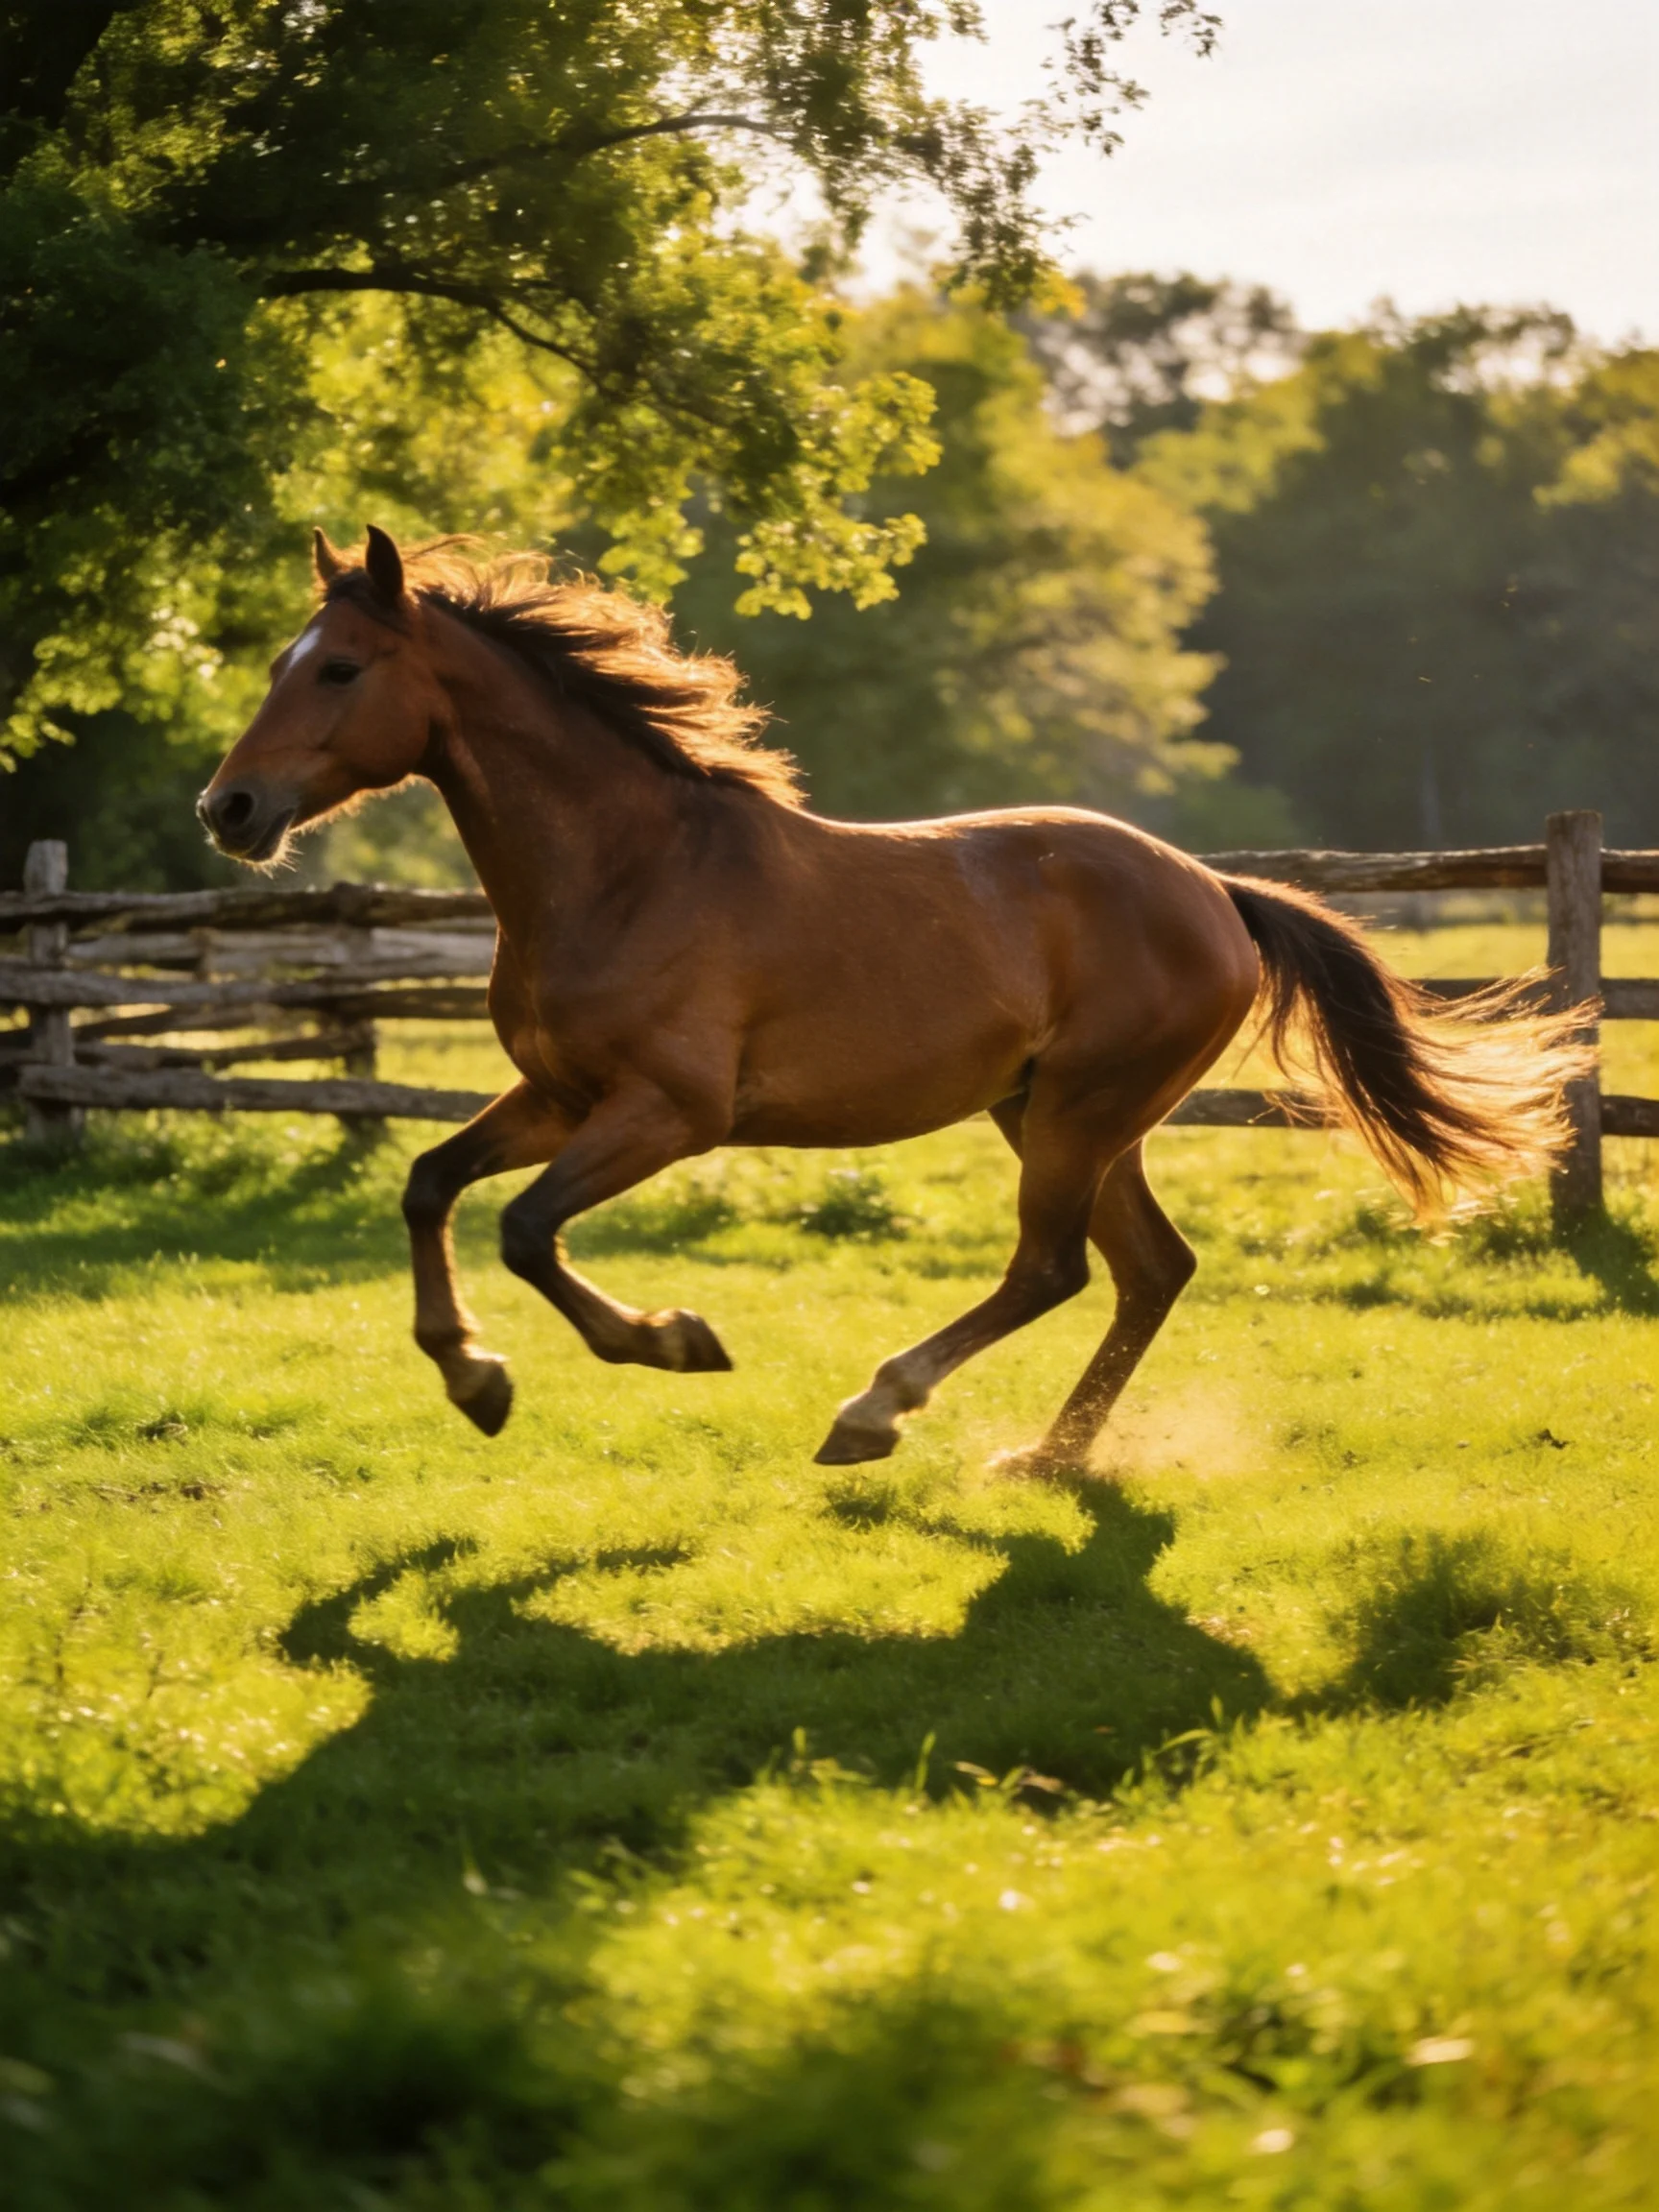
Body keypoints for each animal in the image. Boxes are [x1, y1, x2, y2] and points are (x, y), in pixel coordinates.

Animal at [200, 527, 1588, 1472]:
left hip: (1081, 1111)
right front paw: (474, 1378)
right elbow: (430, 1182)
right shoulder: (556, 1093)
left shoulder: (672, 1113)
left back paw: (875, 1411)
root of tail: (1216, 892)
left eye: (339, 670)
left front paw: (672, 1339)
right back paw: (1045, 1460)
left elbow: (529, 1229)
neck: (629, 870)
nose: (229, 809)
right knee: (1150, 1269)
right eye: (281, 662)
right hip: (1059, 1114)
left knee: (1051, 1269)